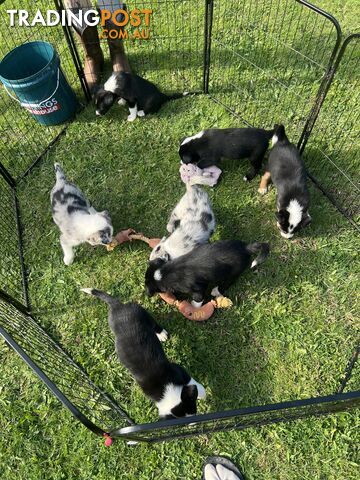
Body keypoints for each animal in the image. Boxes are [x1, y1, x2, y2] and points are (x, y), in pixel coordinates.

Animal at [81, 286, 205, 418]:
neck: (165, 390)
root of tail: (118, 306)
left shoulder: (179, 370)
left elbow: (192, 382)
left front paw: (203, 393)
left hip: (143, 313)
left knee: (154, 324)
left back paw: (161, 334)